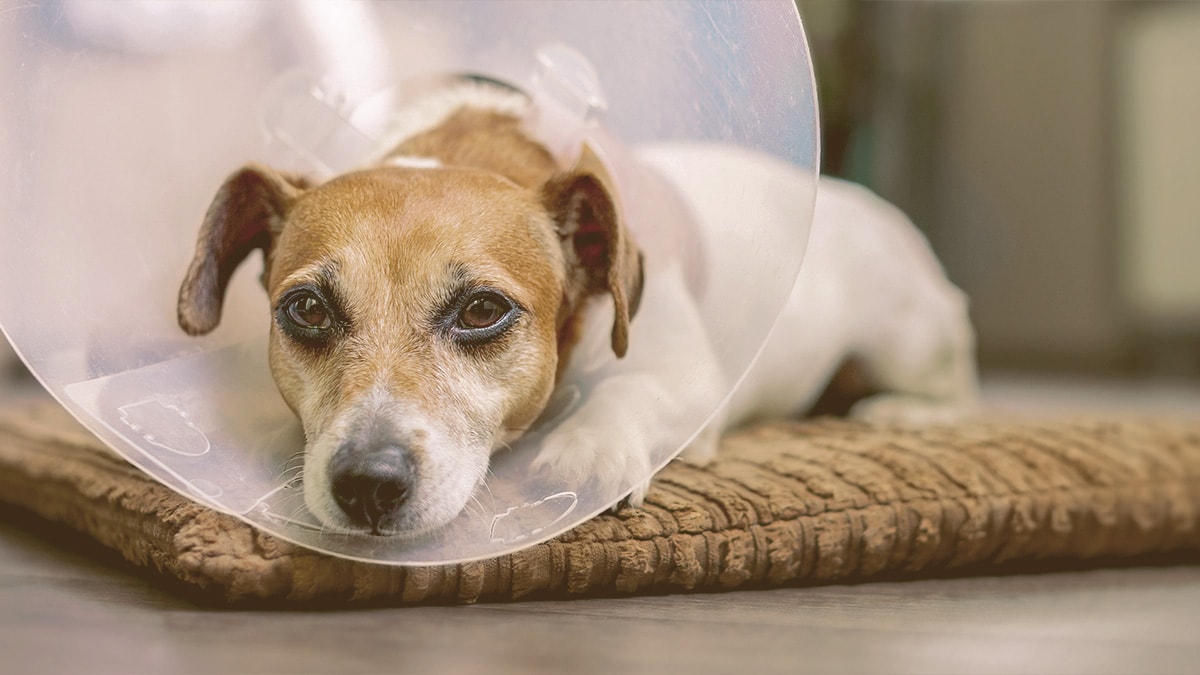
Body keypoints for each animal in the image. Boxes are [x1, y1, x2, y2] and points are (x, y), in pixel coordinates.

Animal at [177, 78, 974, 533]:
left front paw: (589, 448)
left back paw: (898, 412)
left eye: (482, 311)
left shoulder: (689, 382)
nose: (368, 484)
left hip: (908, 341)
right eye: (307, 309)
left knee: (954, 389)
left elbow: (631, 394)